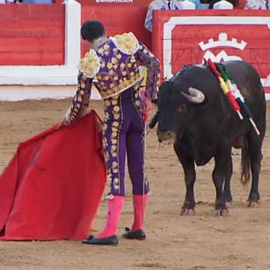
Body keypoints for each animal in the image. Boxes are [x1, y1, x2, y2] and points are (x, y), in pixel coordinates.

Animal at [154, 60, 266, 215]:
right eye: (159, 105)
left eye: (181, 106)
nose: (164, 133)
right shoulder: (181, 150)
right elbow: (190, 177)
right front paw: (188, 206)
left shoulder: (221, 146)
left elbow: (217, 176)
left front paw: (220, 208)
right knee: (229, 168)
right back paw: (227, 198)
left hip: (256, 133)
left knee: (255, 163)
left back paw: (253, 198)